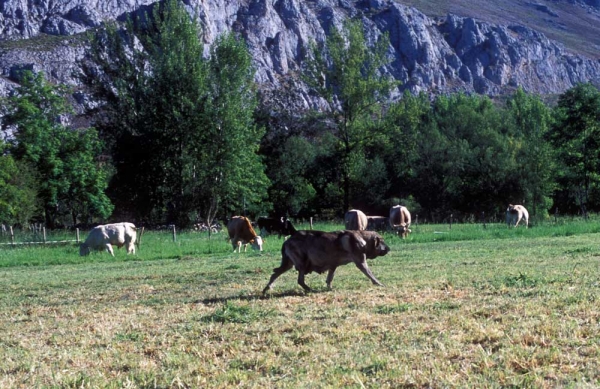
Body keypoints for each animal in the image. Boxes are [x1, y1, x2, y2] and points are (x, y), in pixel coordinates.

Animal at [262, 229, 390, 292]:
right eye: (382, 242)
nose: (389, 249)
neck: (363, 239)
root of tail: (287, 240)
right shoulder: (361, 263)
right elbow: (371, 275)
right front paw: (378, 283)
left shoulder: (333, 266)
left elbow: (329, 278)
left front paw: (329, 288)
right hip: (302, 264)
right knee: (300, 280)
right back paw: (310, 289)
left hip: (288, 264)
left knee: (274, 275)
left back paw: (267, 288)